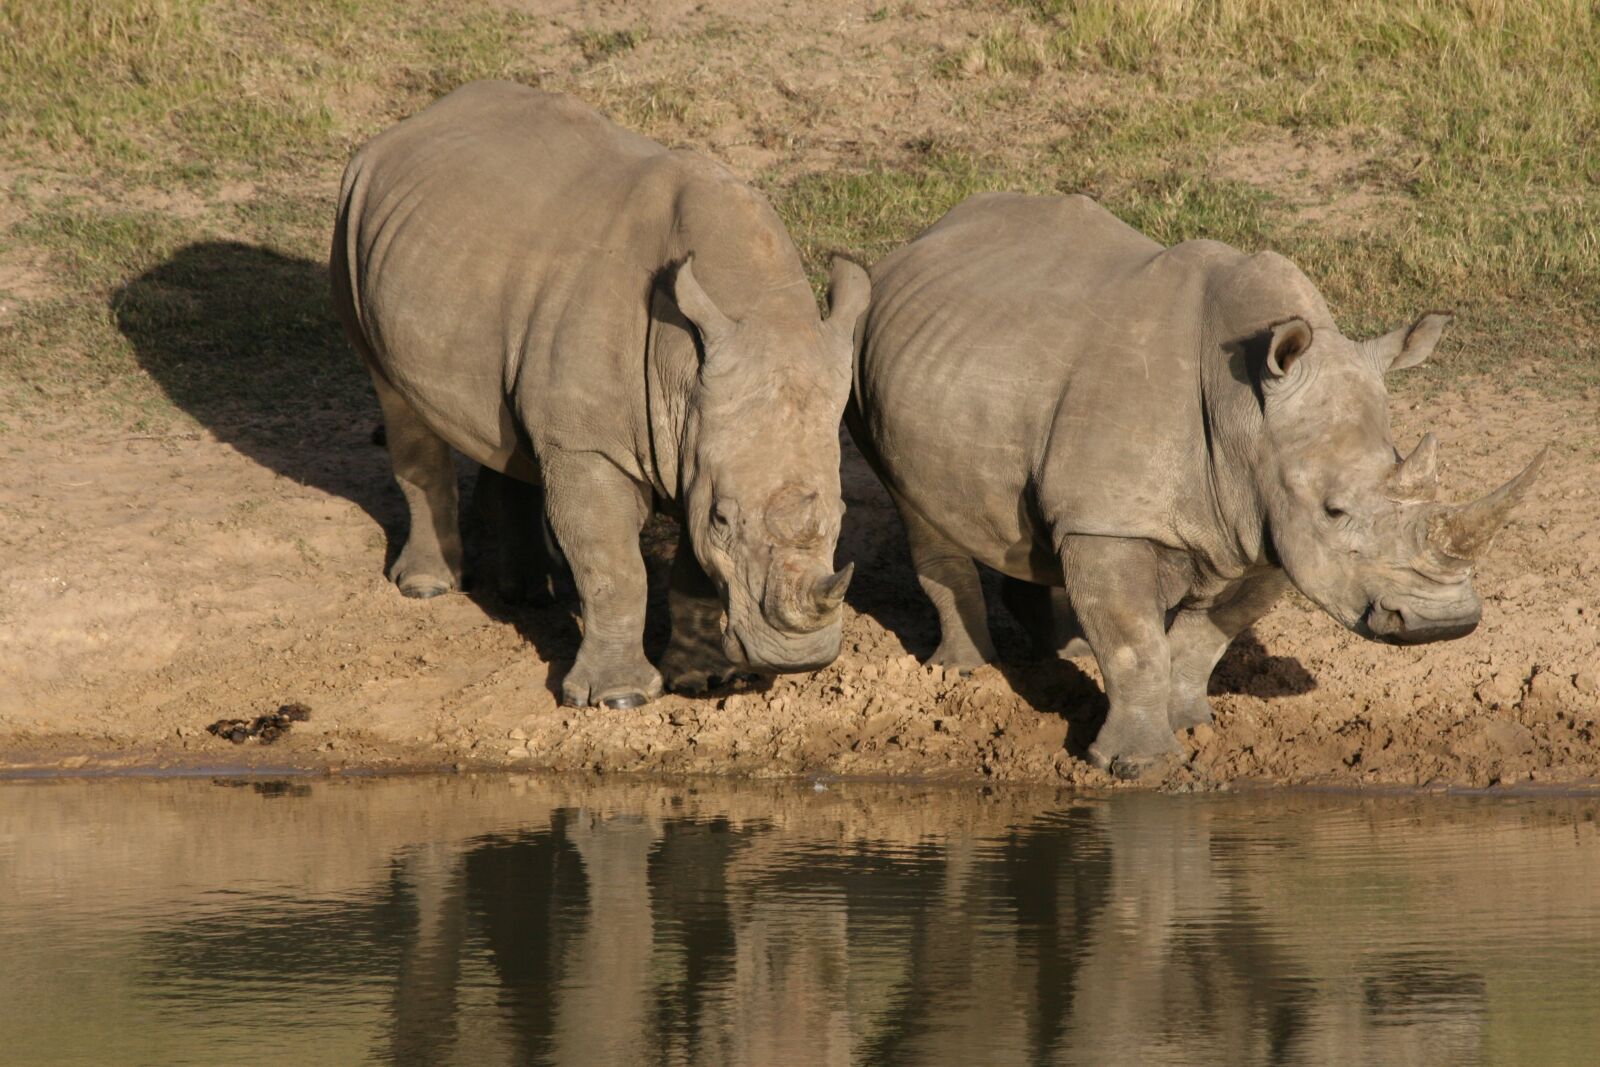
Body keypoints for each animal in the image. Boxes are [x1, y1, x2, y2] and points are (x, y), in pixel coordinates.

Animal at [331, 82, 868, 708]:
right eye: (723, 520)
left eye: (841, 514)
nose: (797, 657)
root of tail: (407, 126)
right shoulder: (591, 446)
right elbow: (613, 563)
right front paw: (619, 699)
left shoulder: (697, 439)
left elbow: (692, 572)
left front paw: (702, 678)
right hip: (351, 219)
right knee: (398, 399)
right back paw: (427, 588)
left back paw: (531, 593)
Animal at [851, 193, 1543, 777]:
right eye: (1333, 510)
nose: (1441, 624)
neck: (1248, 419)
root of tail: (923, 239)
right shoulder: (1117, 520)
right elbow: (1134, 643)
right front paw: (1138, 764)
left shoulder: (1266, 527)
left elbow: (1205, 636)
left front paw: (1191, 725)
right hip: (868, 347)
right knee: (917, 507)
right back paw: (962, 673)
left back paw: (1067, 650)